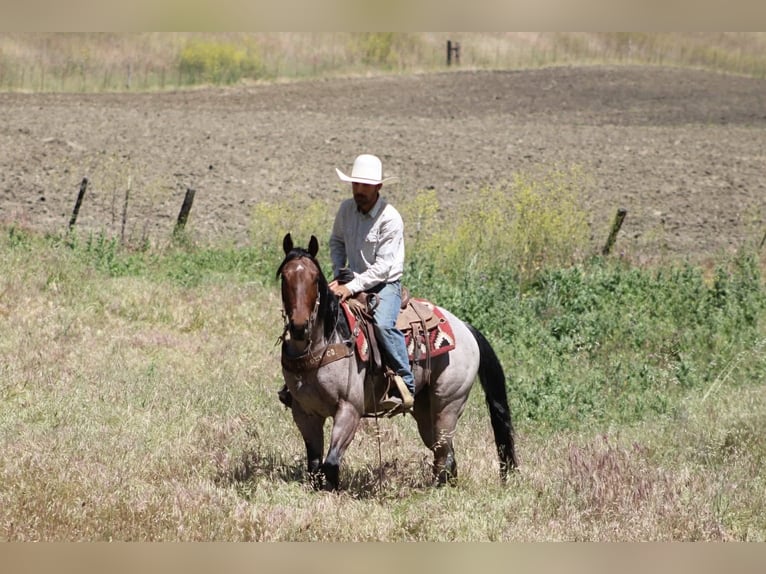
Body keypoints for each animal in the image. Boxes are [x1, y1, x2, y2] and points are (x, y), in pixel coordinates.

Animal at [276, 233, 517, 490]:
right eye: (285, 277)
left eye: (314, 278)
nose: (299, 327)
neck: (325, 343)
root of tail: (465, 328)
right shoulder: (304, 413)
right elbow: (313, 465)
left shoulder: (349, 409)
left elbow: (330, 463)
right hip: (425, 411)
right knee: (444, 452)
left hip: (448, 405)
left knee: (444, 452)